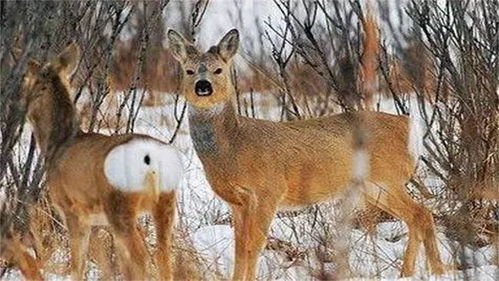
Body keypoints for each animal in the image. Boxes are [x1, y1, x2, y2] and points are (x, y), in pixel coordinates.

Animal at [20, 42, 184, 278]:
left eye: (26, 83)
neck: (58, 144)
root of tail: (151, 158)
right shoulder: (96, 220)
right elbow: (106, 264)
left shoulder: (72, 209)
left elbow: (78, 266)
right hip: (165, 202)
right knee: (163, 256)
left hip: (119, 204)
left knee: (141, 258)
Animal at [168, 27, 446, 278]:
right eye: (189, 71)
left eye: (218, 70)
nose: (203, 86)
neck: (234, 147)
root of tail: (408, 126)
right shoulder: (236, 201)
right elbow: (239, 249)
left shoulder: (269, 190)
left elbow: (253, 247)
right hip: (374, 187)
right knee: (415, 216)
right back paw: (407, 273)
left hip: (386, 178)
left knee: (422, 214)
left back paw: (437, 271)